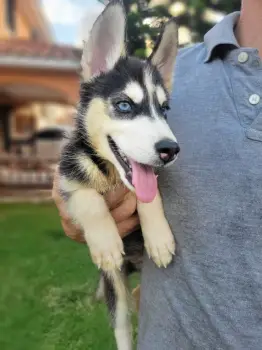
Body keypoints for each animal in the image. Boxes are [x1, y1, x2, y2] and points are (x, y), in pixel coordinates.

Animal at [58, 1, 179, 348]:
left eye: (164, 109)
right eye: (124, 105)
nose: (170, 150)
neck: (111, 171)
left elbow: (149, 197)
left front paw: (159, 237)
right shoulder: (66, 174)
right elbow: (88, 199)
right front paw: (106, 243)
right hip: (117, 290)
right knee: (123, 327)